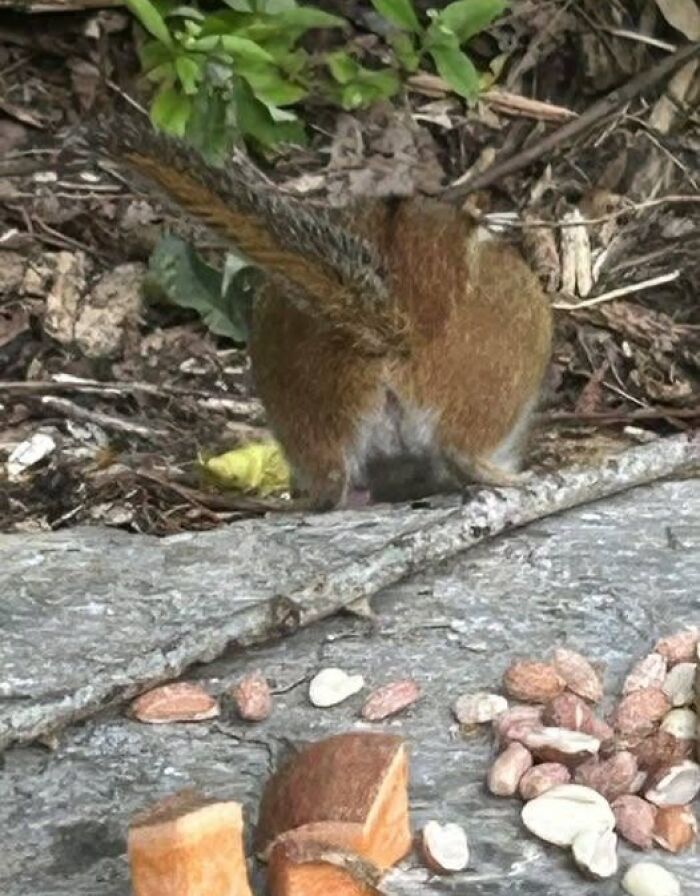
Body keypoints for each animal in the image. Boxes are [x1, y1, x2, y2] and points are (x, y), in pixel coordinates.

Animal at [83, 113, 553, 510]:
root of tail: (389, 326)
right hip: (495, 386)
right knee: (465, 451)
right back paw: (518, 478)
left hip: (308, 419)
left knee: (332, 486)